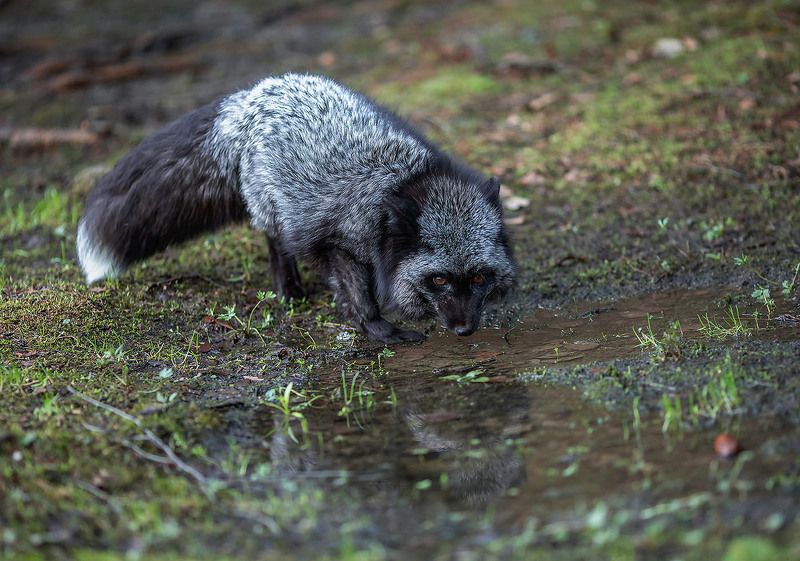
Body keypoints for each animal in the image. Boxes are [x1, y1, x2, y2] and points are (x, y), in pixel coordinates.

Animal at [77, 73, 516, 343]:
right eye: (438, 280)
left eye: (479, 277)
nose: (464, 331)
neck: (400, 183)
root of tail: (250, 97)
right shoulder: (335, 244)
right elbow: (361, 296)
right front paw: (379, 329)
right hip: (275, 210)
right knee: (277, 241)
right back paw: (288, 290)